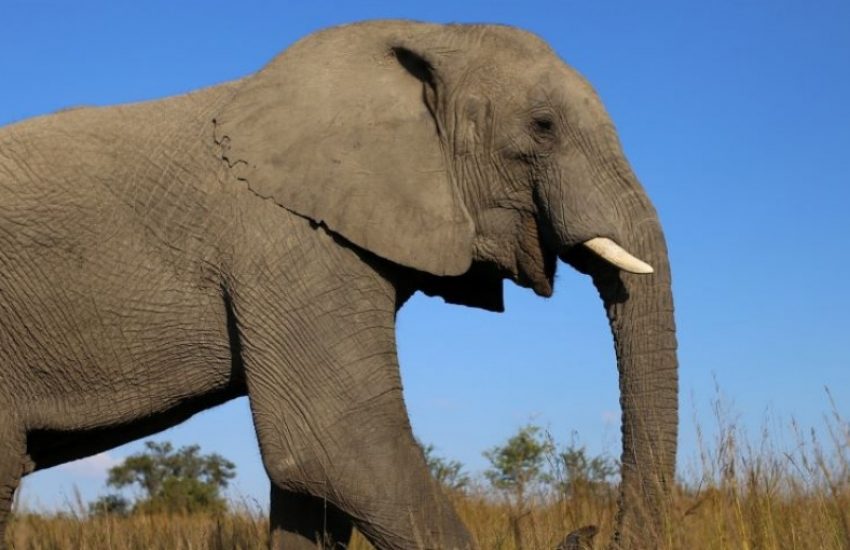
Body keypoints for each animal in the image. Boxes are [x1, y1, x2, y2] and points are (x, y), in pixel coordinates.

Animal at [0, 19, 678, 549]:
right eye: (543, 126)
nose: (589, 530)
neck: (425, 36)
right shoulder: (287, 241)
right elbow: (337, 446)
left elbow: (315, 486)